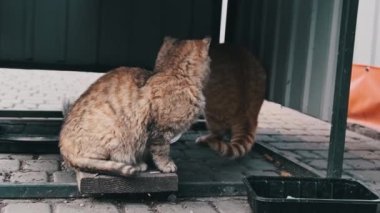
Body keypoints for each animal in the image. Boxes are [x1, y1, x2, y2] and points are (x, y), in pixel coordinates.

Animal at [59, 37, 211, 176]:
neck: (174, 74)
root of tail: (63, 147)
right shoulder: (160, 130)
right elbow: (162, 151)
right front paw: (166, 165)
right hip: (114, 133)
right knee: (104, 161)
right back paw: (137, 165)